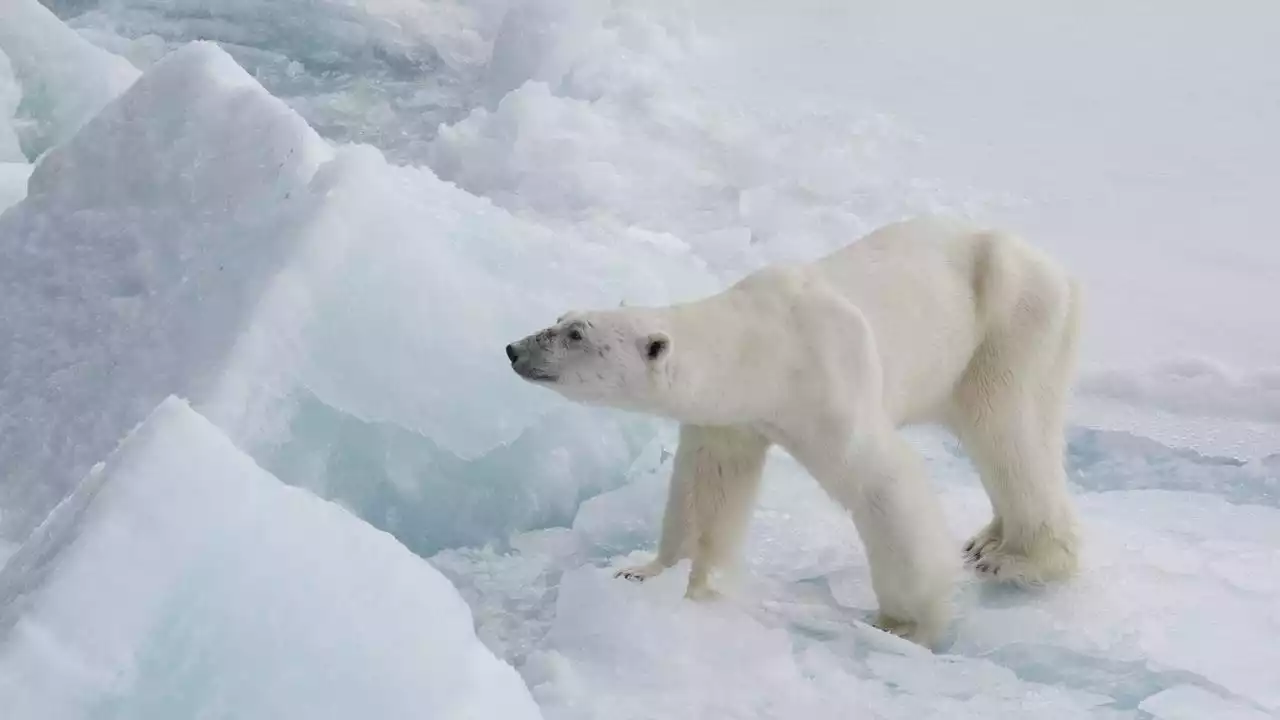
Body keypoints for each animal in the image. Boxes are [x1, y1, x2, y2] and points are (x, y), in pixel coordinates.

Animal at [499, 212, 1080, 645]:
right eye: (561, 317)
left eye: (576, 334)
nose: (513, 349)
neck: (765, 344)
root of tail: (1058, 270)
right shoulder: (734, 417)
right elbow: (706, 488)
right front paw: (647, 574)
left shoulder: (827, 382)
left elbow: (884, 483)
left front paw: (905, 624)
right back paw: (985, 541)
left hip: (1009, 326)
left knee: (1008, 430)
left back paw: (1020, 559)